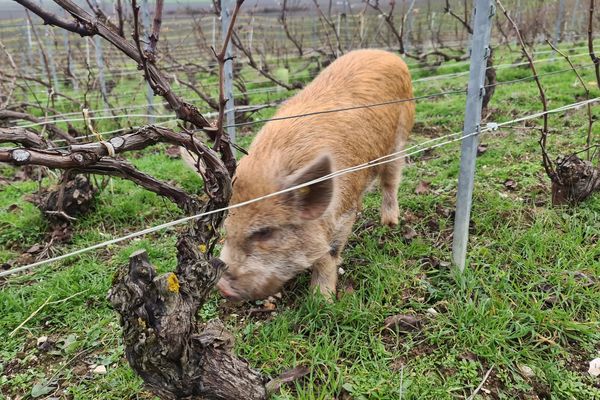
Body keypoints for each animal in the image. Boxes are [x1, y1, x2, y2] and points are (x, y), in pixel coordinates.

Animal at [202, 49, 412, 300]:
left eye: (265, 232)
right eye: (227, 228)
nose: (222, 287)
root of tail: (387, 54)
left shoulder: (342, 214)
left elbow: (329, 253)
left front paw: (322, 299)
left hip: (398, 141)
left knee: (391, 181)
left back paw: (390, 223)